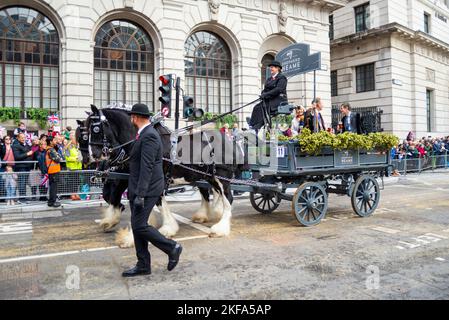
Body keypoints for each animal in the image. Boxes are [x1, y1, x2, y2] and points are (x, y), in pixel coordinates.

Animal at [84, 105, 238, 248]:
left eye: (95, 129)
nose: (93, 156)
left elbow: (156, 203)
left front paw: (163, 229)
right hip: (210, 177)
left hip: (222, 177)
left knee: (228, 198)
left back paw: (220, 228)